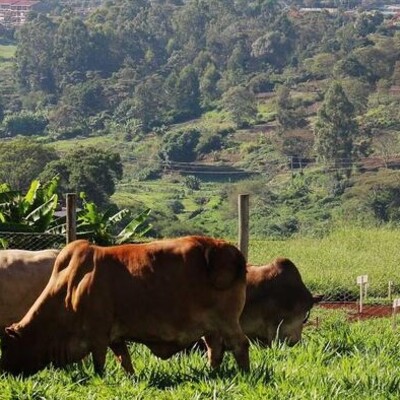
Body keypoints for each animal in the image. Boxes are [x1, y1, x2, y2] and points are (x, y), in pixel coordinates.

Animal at [0, 236, 250, 376]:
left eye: (8, 348)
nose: (5, 373)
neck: (69, 288)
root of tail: (229, 250)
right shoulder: (115, 337)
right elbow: (125, 360)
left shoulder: (98, 336)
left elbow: (99, 364)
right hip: (211, 327)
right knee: (214, 350)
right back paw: (212, 373)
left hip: (227, 321)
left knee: (240, 345)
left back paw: (244, 374)